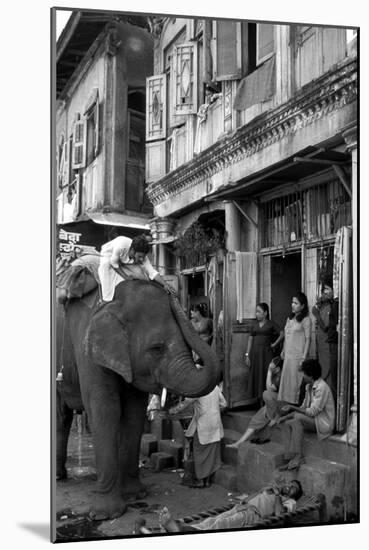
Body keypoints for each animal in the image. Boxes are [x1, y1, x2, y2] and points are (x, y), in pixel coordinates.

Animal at [56, 280, 220, 520]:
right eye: (157, 348)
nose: (170, 289)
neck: (115, 300)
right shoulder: (86, 348)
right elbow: (105, 409)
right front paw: (106, 514)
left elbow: (134, 411)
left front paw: (135, 495)